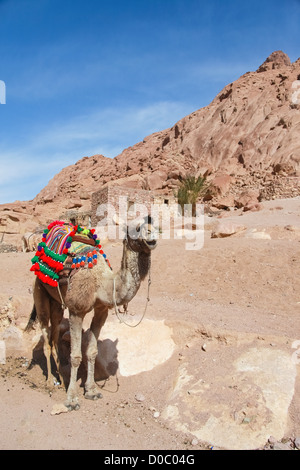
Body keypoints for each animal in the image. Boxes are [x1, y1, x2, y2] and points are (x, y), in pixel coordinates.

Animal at [25, 215, 157, 410]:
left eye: (156, 225)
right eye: (136, 228)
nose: (151, 237)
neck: (101, 282)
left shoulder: (101, 311)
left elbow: (92, 351)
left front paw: (91, 391)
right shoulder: (76, 311)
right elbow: (75, 355)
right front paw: (72, 399)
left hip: (57, 304)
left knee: (55, 335)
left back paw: (61, 380)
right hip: (39, 291)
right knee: (46, 337)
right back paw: (49, 383)